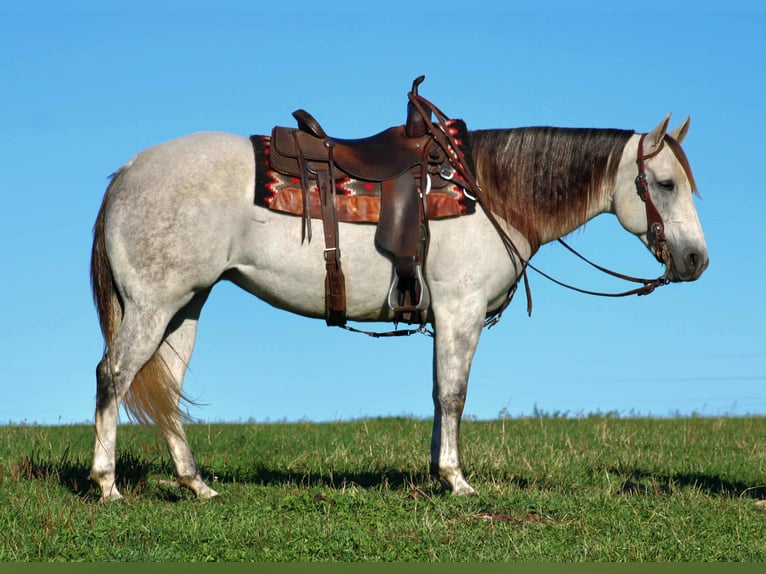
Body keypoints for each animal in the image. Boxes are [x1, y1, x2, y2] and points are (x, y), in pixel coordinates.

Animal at [89, 111, 708, 501]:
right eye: (664, 183)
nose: (696, 259)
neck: (491, 194)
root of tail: (129, 171)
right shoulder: (461, 313)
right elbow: (454, 395)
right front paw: (457, 480)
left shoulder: (446, 320)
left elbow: (438, 396)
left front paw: (438, 474)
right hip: (152, 305)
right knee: (113, 375)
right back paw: (108, 484)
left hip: (185, 306)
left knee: (165, 390)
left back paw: (197, 485)